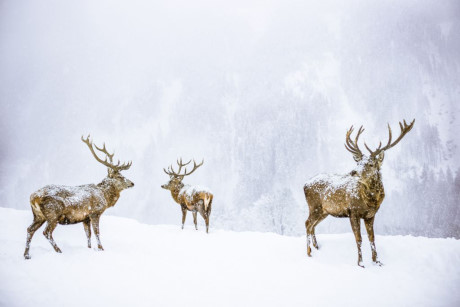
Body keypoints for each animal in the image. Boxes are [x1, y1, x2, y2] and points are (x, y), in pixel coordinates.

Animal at [304, 119, 416, 268]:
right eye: (358, 163)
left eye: (370, 164)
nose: (353, 172)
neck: (370, 201)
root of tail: (305, 185)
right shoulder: (353, 212)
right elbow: (359, 238)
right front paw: (361, 263)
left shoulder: (370, 215)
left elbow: (372, 238)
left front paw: (377, 261)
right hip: (314, 206)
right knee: (307, 223)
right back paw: (309, 252)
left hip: (324, 211)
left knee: (313, 225)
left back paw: (316, 247)